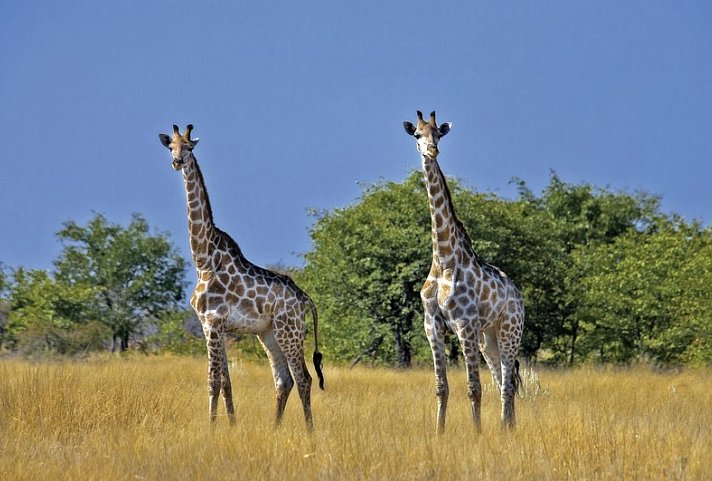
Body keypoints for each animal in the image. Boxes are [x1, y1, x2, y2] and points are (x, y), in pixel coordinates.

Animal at [159, 124, 326, 428]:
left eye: (189, 147)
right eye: (171, 147)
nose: (177, 162)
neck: (203, 259)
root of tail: (305, 299)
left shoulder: (213, 323)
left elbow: (213, 381)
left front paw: (212, 429)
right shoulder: (213, 326)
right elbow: (226, 382)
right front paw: (231, 426)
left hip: (289, 330)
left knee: (304, 379)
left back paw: (310, 432)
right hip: (267, 334)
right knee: (284, 380)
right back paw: (274, 429)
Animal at [404, 111, 524, 432]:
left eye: (438, 134)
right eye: (417, 134)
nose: (432, 150)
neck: (444, 260)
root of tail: (518, 295)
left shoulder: (464, 324)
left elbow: (473, 387)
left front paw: (477, 433)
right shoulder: (432, 325)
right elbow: (441, 386)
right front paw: (439, 432)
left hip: (509, 330)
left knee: (507, 383)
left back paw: (505, 430)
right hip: (488, 338)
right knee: (502, 380)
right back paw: (507, 427)